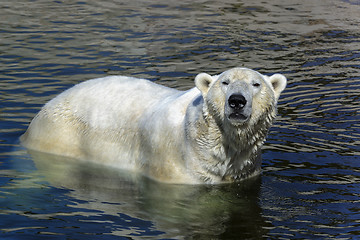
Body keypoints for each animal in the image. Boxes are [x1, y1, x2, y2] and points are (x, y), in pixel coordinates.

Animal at [21, 67, 286, 184]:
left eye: (256, 84)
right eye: (225, 82)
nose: (236, 101)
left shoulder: (247, 170)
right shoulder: (173, 166)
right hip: (61, 135)